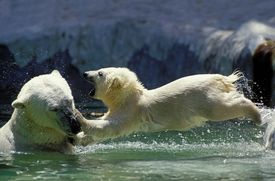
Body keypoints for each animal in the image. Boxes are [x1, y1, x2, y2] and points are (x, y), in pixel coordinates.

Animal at [76, 67, 262, 145]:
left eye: (100, 73)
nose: (84, 73)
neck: (130, 96)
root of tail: (220, 78)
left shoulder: (131, 111)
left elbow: (110, 126)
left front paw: (79, 116)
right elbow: (103, 127)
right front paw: (80, 139)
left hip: (204, 99)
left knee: (222, 108)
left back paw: (257, 115)